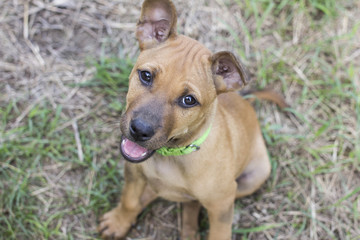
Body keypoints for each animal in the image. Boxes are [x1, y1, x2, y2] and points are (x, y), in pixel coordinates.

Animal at [99, 0, 284, 239]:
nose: (139, 130)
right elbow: (129, 199)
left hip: (254, 176)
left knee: (192, 202)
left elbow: (219, 233)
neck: (172, 156)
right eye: (146, 75)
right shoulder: (133, 173)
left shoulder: (222, 203)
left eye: (189, 100)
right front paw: (120, 221)